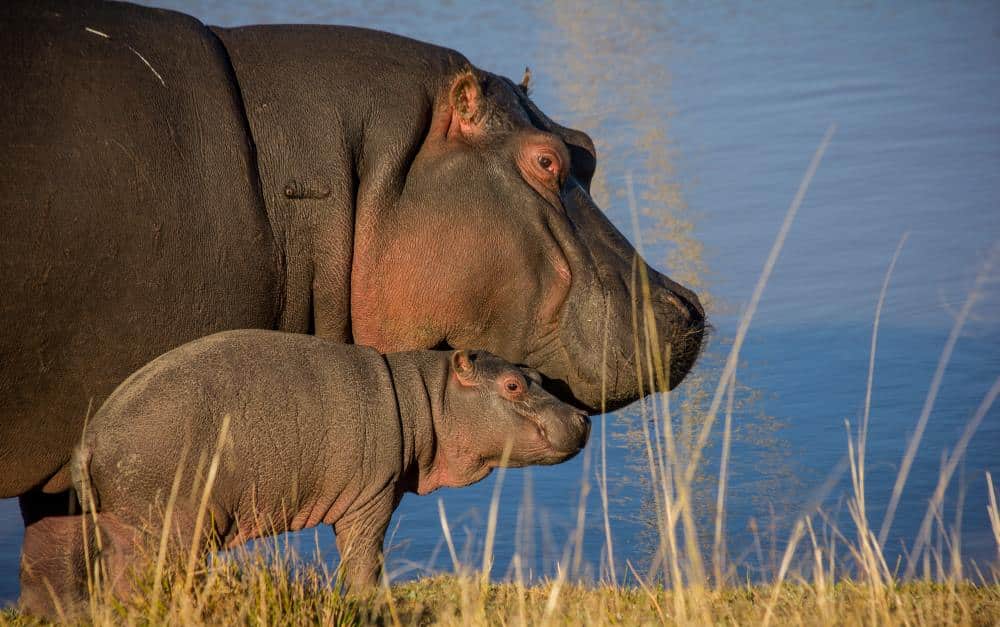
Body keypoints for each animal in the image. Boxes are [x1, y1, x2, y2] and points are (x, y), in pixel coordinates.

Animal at [74, 332, 588, 596]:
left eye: (536, 375)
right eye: (512, 386)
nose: (581, 417)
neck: (426, 397)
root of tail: (91, 441)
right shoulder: (373, 497)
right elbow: (364, 557)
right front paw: (374, 601)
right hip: (171, 526)